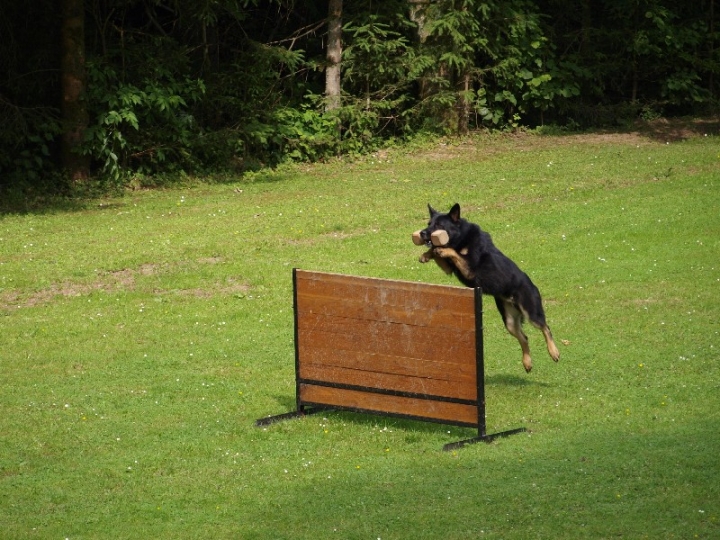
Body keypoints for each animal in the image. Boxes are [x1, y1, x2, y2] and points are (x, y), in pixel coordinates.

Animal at [416, 202, 564, 372]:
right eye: (429, 224)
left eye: (439, 225)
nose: (422, 233)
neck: (460, 237)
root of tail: (531, 284)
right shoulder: (449, 269)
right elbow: (436, 251)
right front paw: (426, 254)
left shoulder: (470, 269)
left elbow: (451, 251)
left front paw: (440, 249)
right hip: (510, 321)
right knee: (524, 337)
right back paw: (527, 362)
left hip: (531, 311)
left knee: (546, 327)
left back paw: (554, 352)